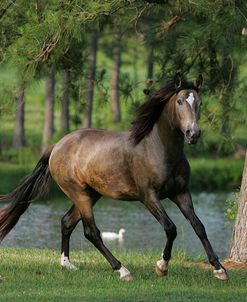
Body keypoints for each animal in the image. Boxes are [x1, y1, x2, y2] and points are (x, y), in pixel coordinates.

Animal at [0, 73, 228, 280]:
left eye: (199, 102)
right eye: (180, 101)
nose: (193, 134)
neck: (158, 148)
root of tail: (56, 146)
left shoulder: (181, 194)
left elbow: (199, 227)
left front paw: (219, 269)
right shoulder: (149, 197)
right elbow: (170, 228)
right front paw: (161, 267)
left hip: (91, 194)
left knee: (67, 222)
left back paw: (68, 265)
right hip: (79, 194)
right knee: (91, 232)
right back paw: (122, 270)